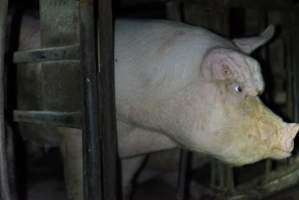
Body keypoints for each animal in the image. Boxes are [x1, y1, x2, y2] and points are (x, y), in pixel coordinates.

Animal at [18, 16, 299, 200]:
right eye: (238, 89)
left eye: (261, 91)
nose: (292, 132)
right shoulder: (73, 135)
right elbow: (77, 181)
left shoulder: (133, 150)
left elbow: (126, 181)